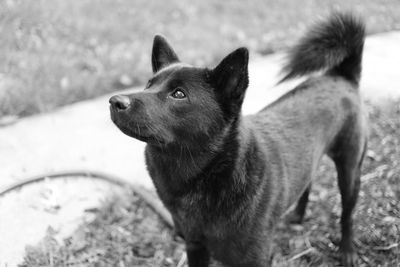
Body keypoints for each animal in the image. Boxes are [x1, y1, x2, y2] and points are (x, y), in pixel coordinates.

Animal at [110, 11, 368, 266]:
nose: (114, 101)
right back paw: (297, 215)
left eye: (179, 94)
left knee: (347, 215)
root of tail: (341, 74)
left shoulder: (256, 257)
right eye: (148, 84)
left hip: (350, 171)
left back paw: (347, 251)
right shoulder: (194, 245)